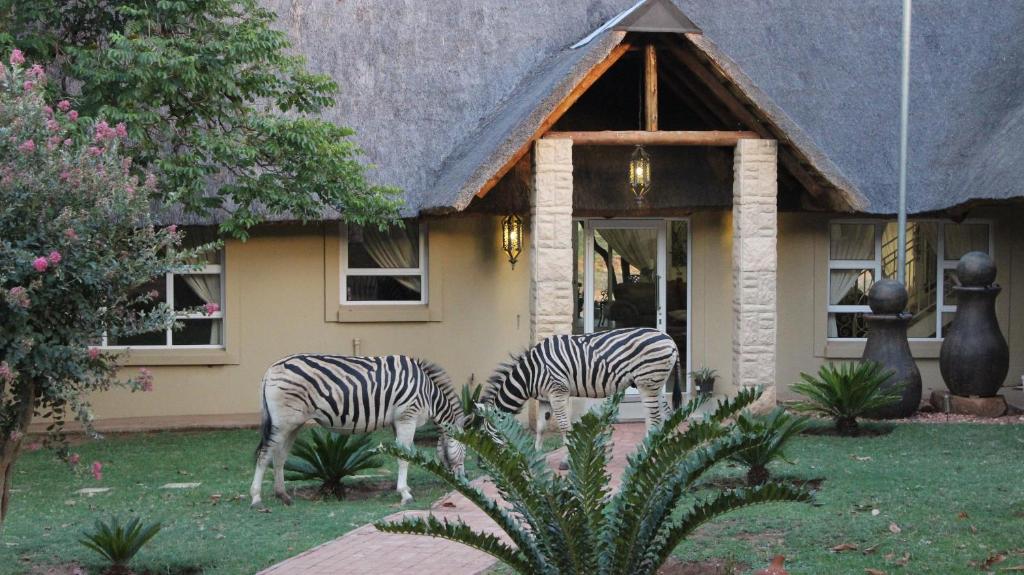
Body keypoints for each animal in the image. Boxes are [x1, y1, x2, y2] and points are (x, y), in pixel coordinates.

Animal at [249, 351, 466, 503]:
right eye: (466, 452)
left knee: (279, 456)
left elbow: (403, 455)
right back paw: (256, 497)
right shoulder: (407, 417)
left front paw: (405, 489)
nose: (465, 481)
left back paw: (283, 495)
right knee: (265, 454)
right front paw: (405, 494)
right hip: (282, 422)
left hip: (294, 422)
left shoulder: (398, 421)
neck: (429, 392)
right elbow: (404, 457)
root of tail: (271, 369)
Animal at [481, 327, 675, 444]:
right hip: (656, 384)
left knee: (654, 420)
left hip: (647, 383)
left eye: (486, 435)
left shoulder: (558, 392)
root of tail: (669, 339)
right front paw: (536, 458)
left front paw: (567, 461)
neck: (531, 373)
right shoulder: (545, 399)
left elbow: (565, 427)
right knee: (668, 414)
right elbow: (541, 427)